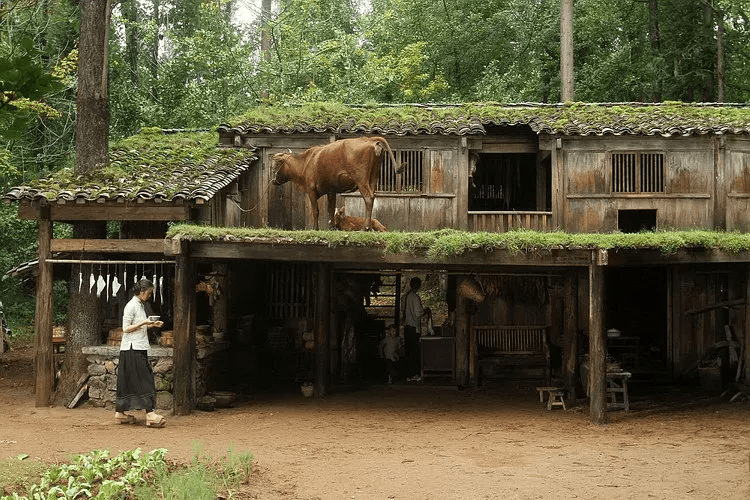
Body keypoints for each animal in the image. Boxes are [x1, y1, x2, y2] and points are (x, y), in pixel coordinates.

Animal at [268, 137, 402, 230]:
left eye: (274, 165)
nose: (273, 181)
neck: (306, 163)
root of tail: (369, 139)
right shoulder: (331, 190)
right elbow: (330, 209)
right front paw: (332, 227)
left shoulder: (311, 189)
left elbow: (315, 210)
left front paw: (315, 228)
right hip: (373, 177)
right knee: (372, 196)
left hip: (361, 178)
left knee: (368, 198)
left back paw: (365, 227)